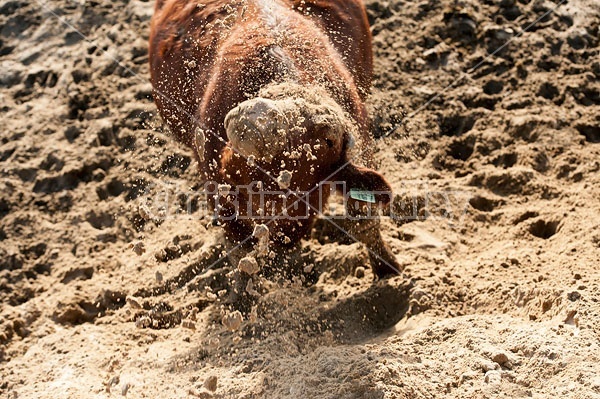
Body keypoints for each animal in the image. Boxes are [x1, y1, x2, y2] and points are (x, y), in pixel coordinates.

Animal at [149, 0, 400, 278]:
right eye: (248, 186)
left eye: (313, 189)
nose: (284, 238)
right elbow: (239, 249)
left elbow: (364, 219)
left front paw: (387, 267)